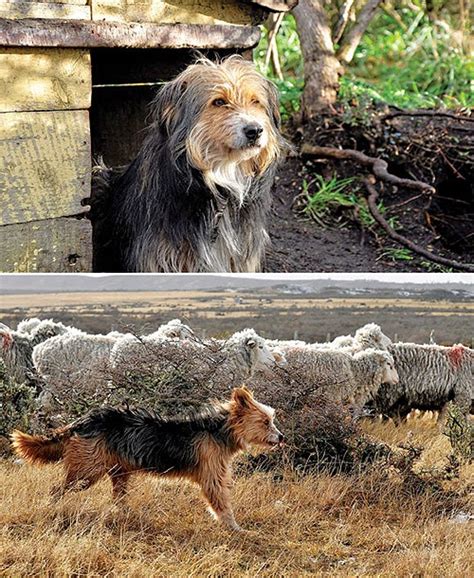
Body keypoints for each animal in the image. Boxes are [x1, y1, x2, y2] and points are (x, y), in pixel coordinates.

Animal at [11, 384, 284, 528]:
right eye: (266, 422)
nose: (281, 437)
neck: (218, 429)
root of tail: (82, 421)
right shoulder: (212, 478)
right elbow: (222, 503)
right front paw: (234, 528)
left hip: (119, 473)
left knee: (118, 499)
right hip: (86, 473)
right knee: (57, 489)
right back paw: (51, 507)